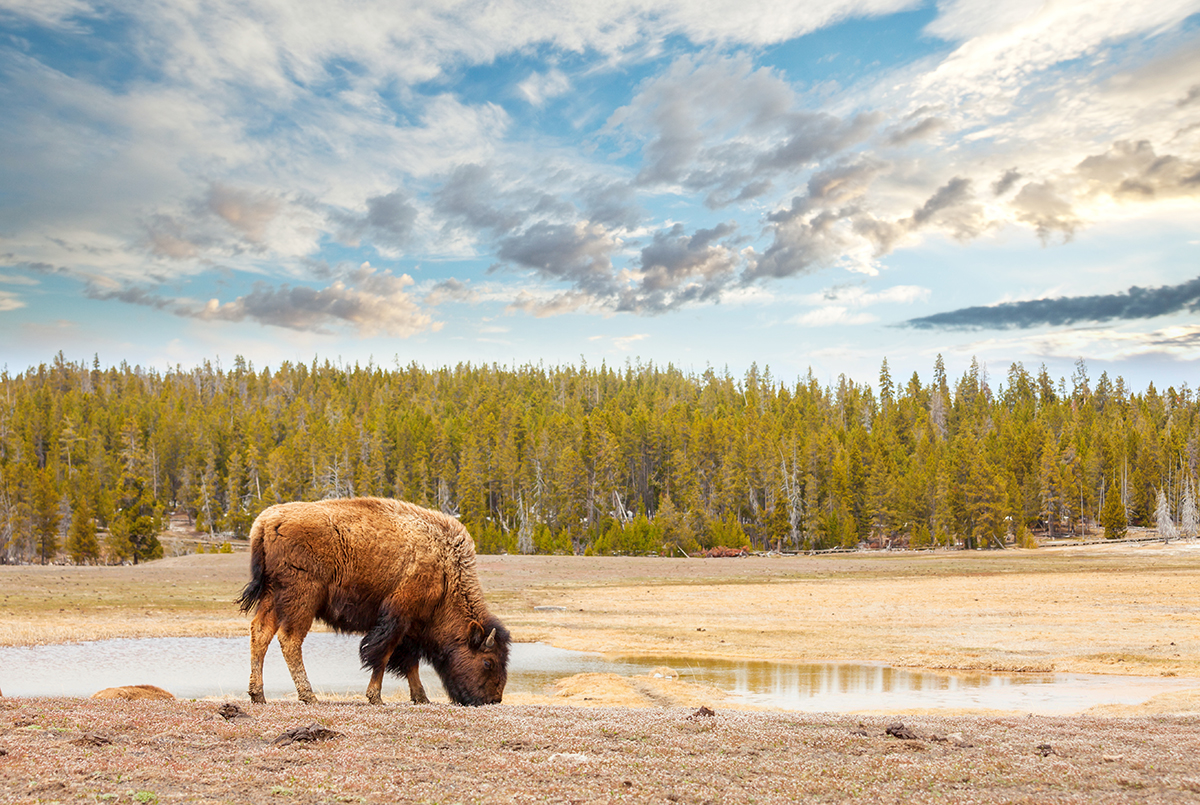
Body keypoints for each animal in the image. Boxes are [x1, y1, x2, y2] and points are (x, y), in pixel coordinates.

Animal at [237, 497, 510, 706]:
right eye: (488, 661)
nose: (493, 699)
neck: (444, 570)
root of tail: (266, 521)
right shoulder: (398, 617)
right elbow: (382, 655)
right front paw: (376, 697)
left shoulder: (411, 628)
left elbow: (409, 663)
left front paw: (421, 698)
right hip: (303, 598)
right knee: (290, 639)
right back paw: (309, 696)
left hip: (272, 596)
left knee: (260, 633)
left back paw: (258, 695)